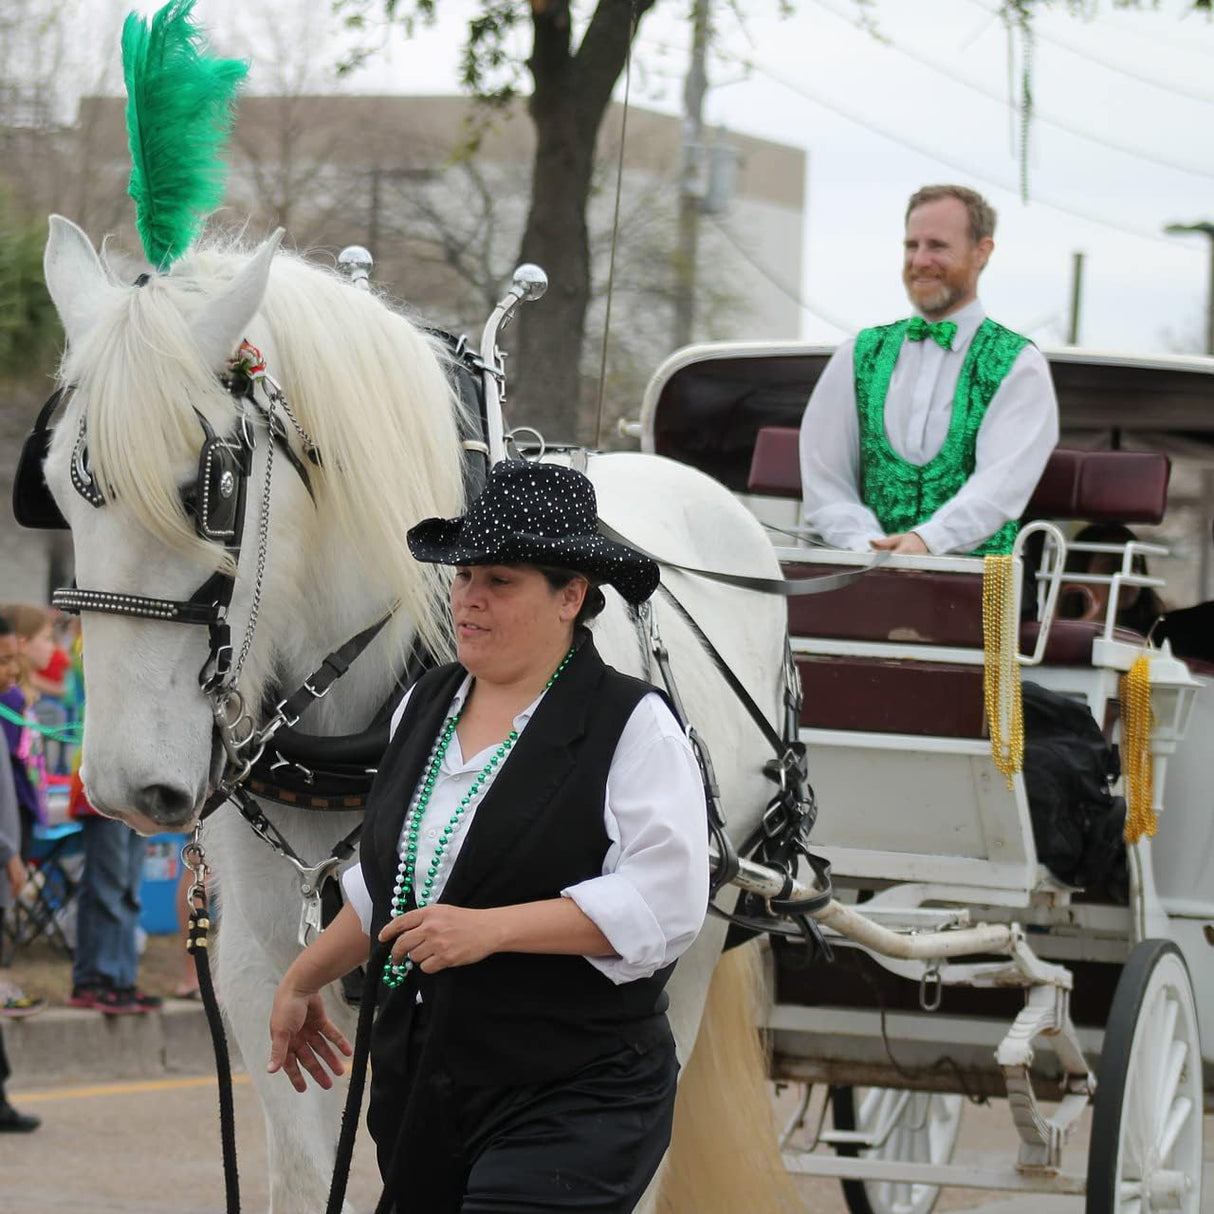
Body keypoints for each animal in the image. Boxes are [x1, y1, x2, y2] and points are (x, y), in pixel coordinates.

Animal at [37, 218, 801, 1214]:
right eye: (52, 489)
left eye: (210, 491)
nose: (130, 787)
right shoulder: (263, 971)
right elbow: (304, 1165)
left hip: (699, 932)